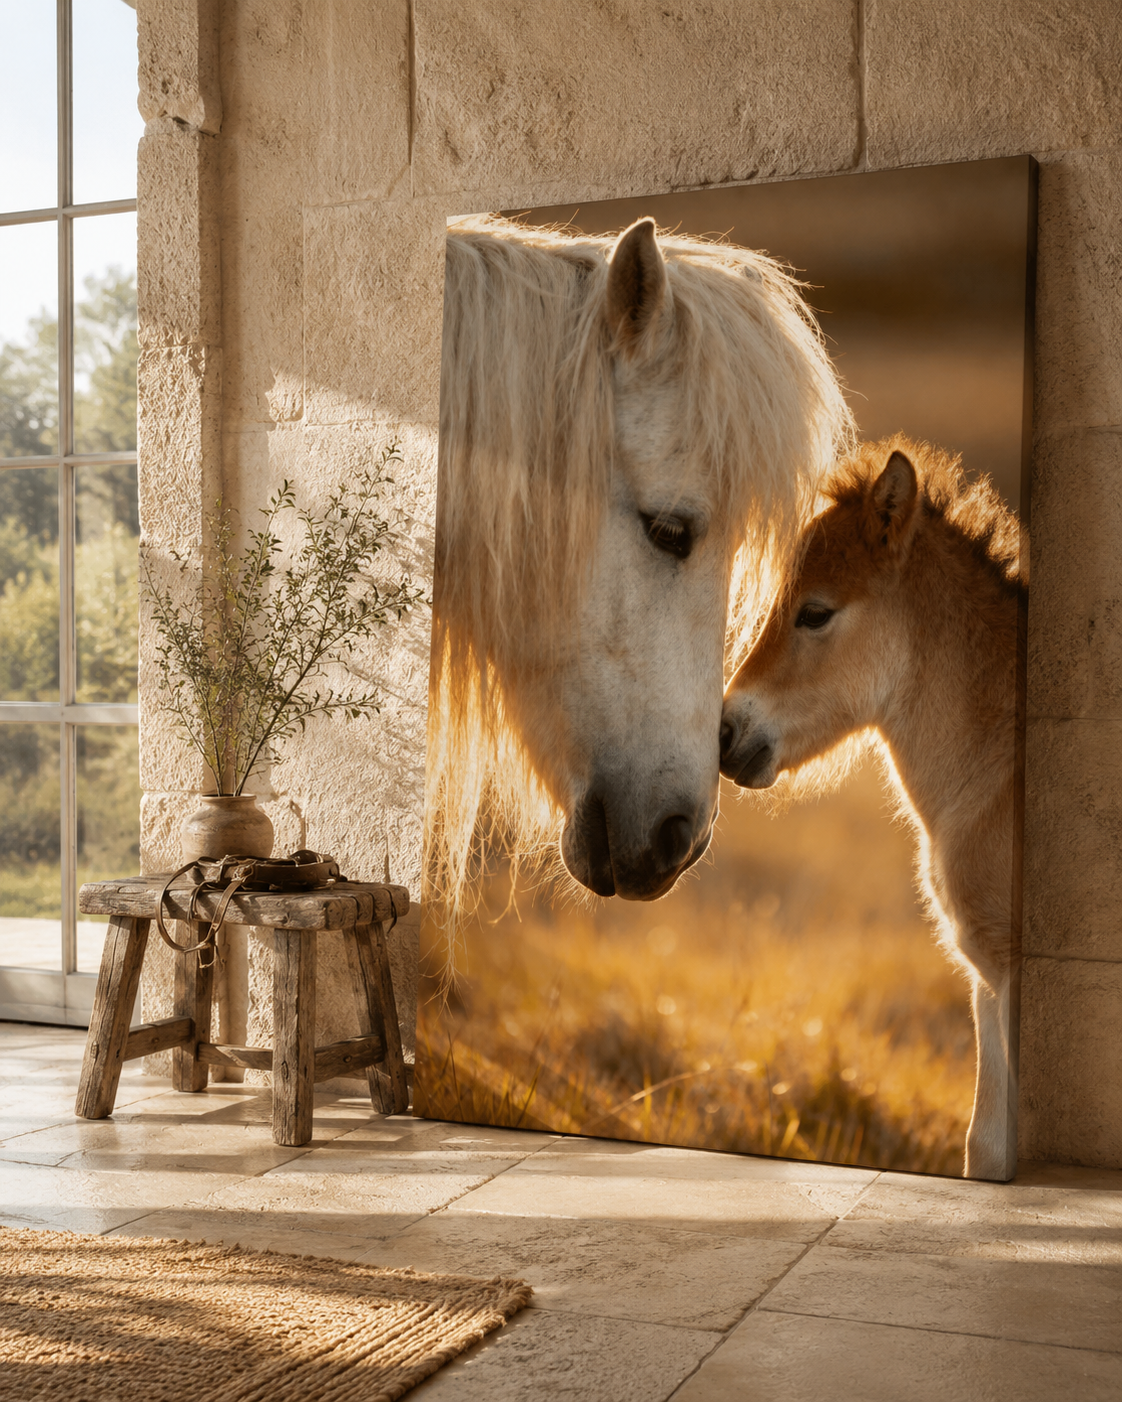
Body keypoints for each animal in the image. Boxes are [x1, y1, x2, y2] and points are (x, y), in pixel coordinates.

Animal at [718, 438, 1025, 1180]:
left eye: (815, 612)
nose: (726, 735)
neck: (998, 770)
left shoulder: (1009, 976)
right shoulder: (986, 977)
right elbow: (986, 1145)